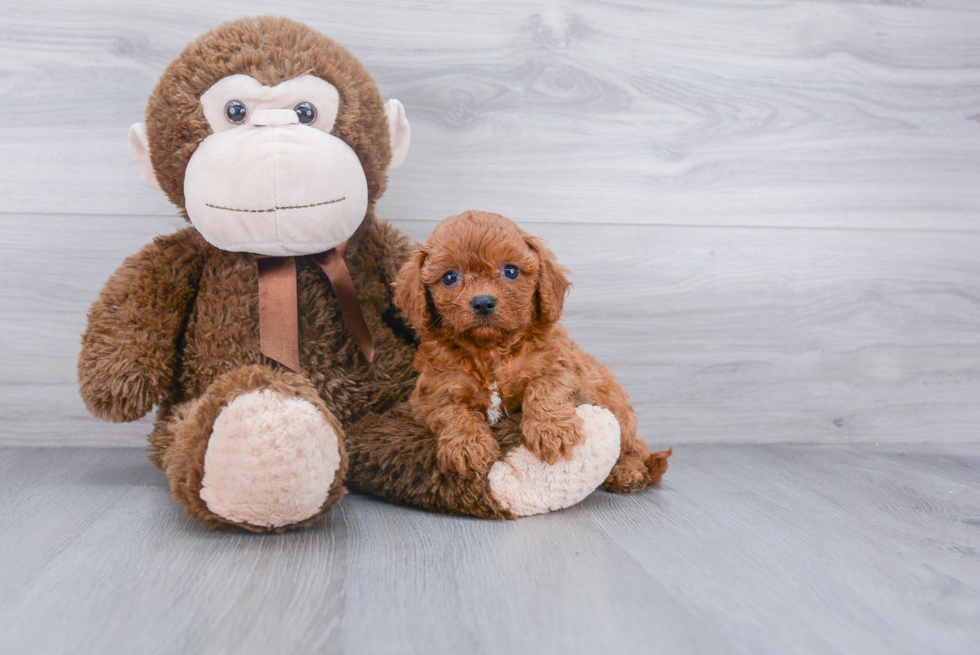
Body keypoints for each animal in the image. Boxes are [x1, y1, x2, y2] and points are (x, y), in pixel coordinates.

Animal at [394, 210, 668, 492]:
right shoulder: (432, 393)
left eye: (510, 271)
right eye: (449, 277)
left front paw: (552, 433)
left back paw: (628, 472)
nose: (483, 302)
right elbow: (453, 412)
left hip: (615, 406)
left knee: (634, 447)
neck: (491, 349)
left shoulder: (560, 367)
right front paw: (468, 447)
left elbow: (544, 387)